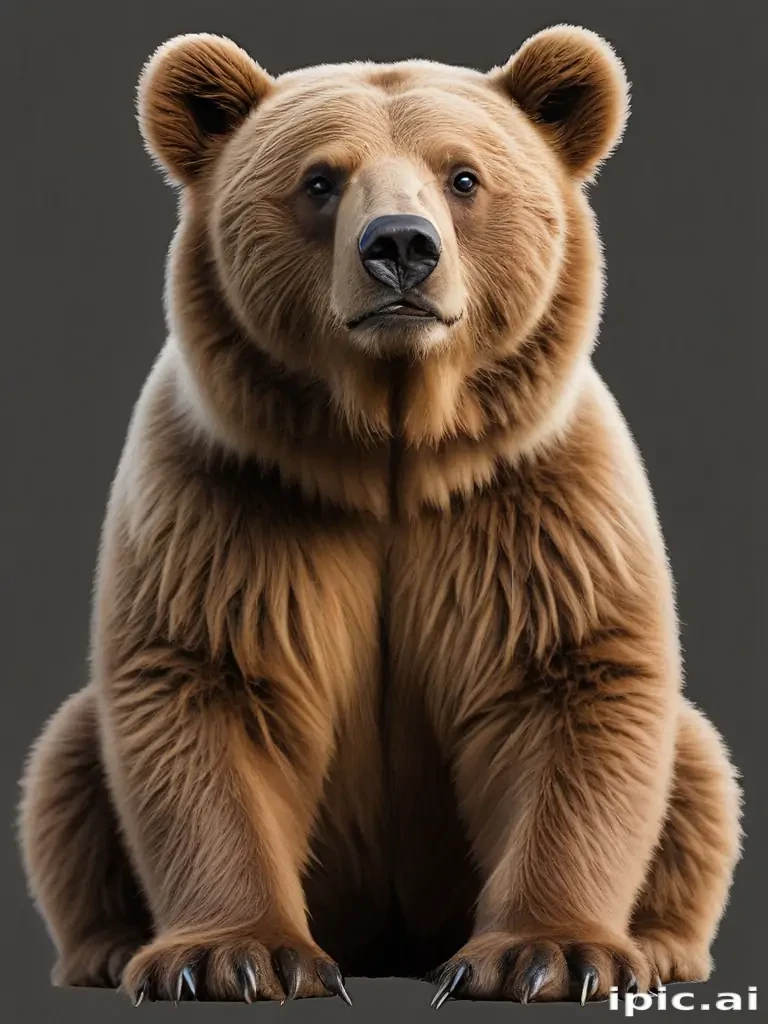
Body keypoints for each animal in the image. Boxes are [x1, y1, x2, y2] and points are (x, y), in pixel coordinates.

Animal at [18, 25, 742, 1006]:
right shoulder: (230, 504)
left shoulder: (533, 506)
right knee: (65, 768)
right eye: (320, 179)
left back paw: (661, 943)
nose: (401, 244)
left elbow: (571, 683)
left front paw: (552, 953)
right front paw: (233, 956)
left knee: (698, 768)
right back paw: (103, 947)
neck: (389, 458)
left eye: (463, 176)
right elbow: (205, 684)